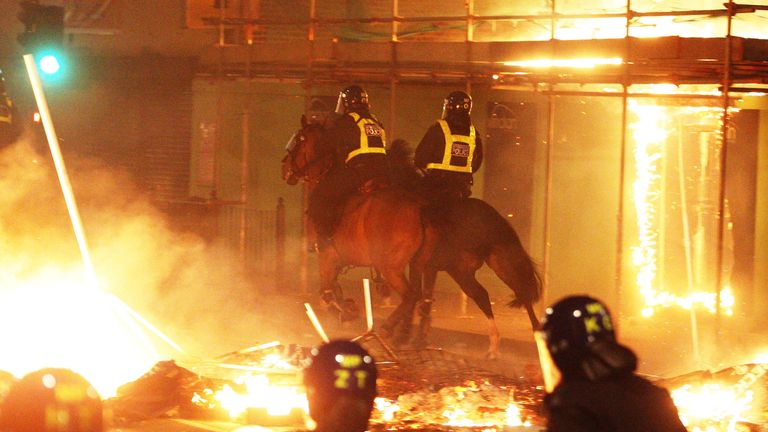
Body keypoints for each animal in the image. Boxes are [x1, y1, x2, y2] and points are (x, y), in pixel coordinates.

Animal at [280, 116, 432, 340]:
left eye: (299, 140)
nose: (284, 168)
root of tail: (418, 207)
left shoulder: (327, 255)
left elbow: (326, 293)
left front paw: (346, 312)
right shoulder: (338, 259)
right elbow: (334, 289)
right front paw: (348, 309)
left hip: (391, 268)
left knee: (410, 295)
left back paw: (388, 328)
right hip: (415, 265)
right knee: (417, 296)